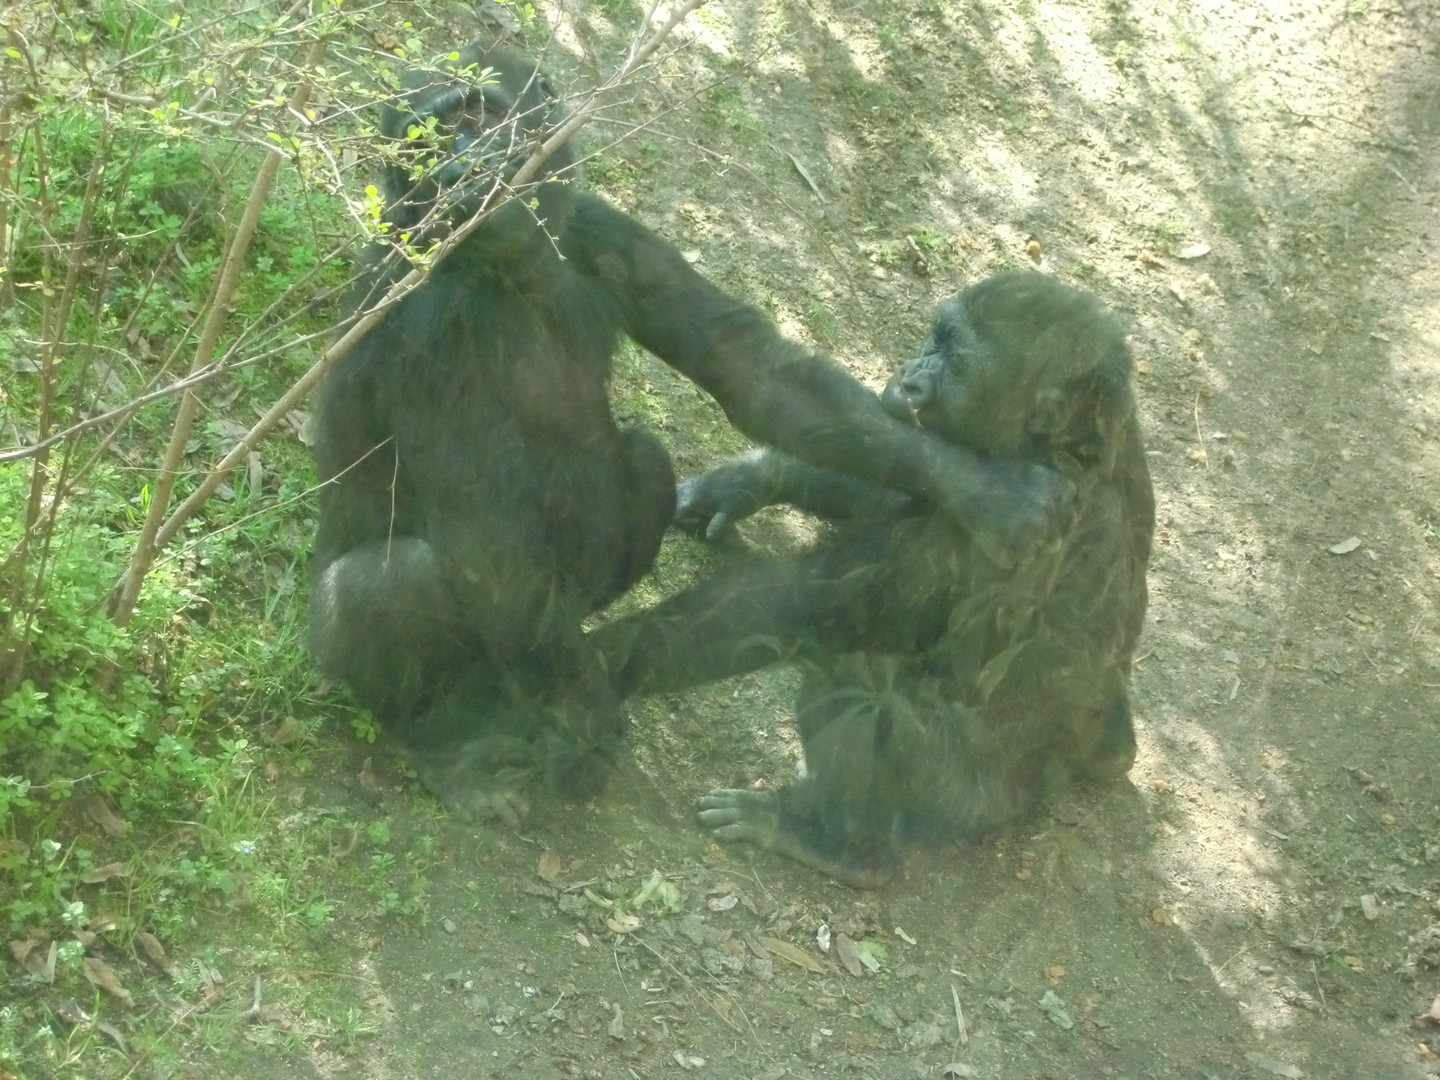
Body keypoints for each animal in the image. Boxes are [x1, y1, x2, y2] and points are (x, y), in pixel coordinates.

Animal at [306, 40, 1071, 817]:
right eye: (423, 148)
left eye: (474, 112)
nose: (461, 163)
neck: (506, 266)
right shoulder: (421, 320)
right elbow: (486, 542)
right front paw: (585, 718)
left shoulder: (603, 231)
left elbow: (748, 369)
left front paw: (984, 492)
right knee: (391, 584)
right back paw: (448, 743)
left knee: (644, 463)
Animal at [578, 272, 1152, 887]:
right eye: (935, 337)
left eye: (955, 357)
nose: (911, 375)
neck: (1062, 443)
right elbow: (912, 477)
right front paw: (749, 479)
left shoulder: (1000, 536)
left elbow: (803, 603)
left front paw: (581, 681)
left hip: (962, 803)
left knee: (859, 681)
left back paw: (840, 845)